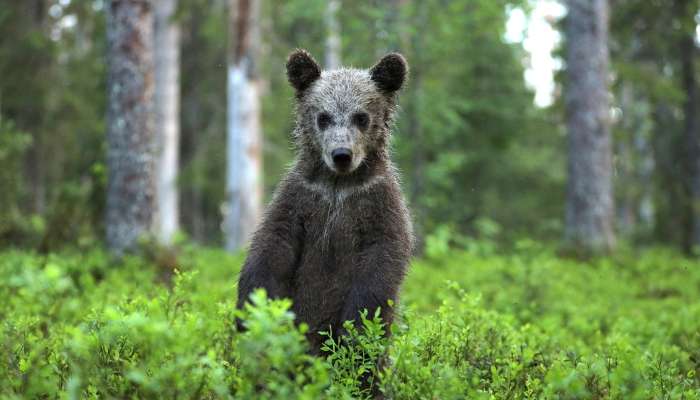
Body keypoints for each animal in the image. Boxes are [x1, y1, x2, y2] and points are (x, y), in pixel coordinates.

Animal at [235, 47, 412, 354]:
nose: (341, 154)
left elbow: (382, 260)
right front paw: (250, 312)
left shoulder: (377, 201)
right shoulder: (302, 198)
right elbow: (272, 244)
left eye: (361, 117)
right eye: (323, 117)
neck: (338, 185)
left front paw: (355, 328)